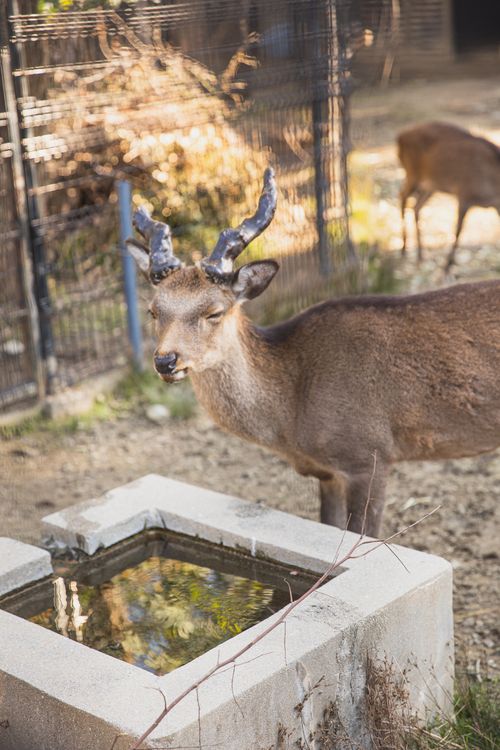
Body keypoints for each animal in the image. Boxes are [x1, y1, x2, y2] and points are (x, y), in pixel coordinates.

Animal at [126, 168, 500, 537]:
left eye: (214, 312)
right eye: (153, 311)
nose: (165, 361)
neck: (292, 416)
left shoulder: (371, 455)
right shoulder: (327, 472)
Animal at [398, 121, 500, 270]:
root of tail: (399, 137)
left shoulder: (496, 205)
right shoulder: (464, 194)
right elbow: (458, 230)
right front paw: (447, 265)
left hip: (430, 184)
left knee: (416, 206)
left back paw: (420, 254)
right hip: (412, 173)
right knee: (402, 196)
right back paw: (404, 249)